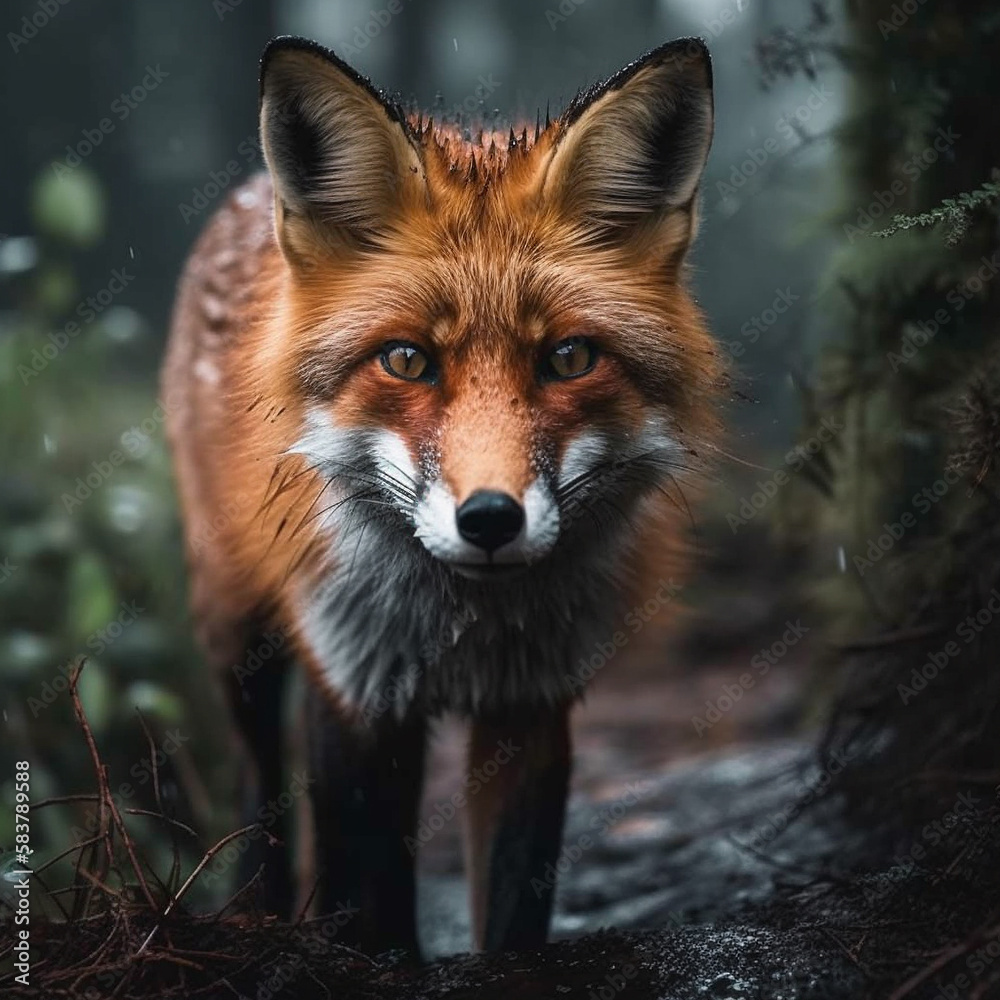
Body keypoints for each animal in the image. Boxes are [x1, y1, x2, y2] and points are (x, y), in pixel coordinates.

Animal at [162, 35, 720, 955]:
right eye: (407, 360)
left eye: (569, 358)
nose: (490, 518)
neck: (462, 630)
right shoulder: (354, 689)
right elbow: (373, 903)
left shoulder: (532, 706)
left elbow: (514, 916)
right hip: (235, 629)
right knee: (256, 778)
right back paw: (257, 909)